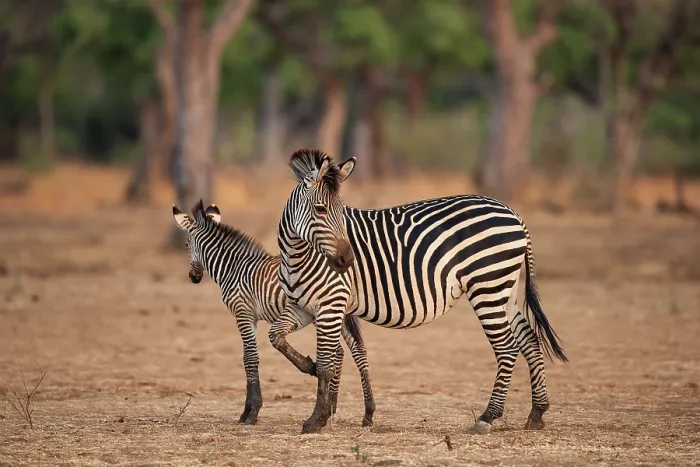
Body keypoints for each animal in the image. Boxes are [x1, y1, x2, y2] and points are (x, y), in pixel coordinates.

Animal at [171, 200, 376, 426]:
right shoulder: (250, 317)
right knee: (353, 350)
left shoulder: (243, 313)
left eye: (186, 245)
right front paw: (246, 411)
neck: (233, 268)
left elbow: (250, 358)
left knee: (343, 351)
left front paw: (251, 412)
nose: (194, 277)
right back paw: (358, 411)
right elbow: (247, 357)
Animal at [272, 148, 567, 434]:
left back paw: (488, 417)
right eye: (321, 209)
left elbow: (326, 363)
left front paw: (316, 419)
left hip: (488, 287)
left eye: (341, 211)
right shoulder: (304, 307)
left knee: (507, 347)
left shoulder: (331, 305)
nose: (347, 261)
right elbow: (277, 337)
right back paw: (537, 413)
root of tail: (514, 214)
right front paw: (310, 371)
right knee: (529, 339)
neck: (297, 255)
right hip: (505, 289)